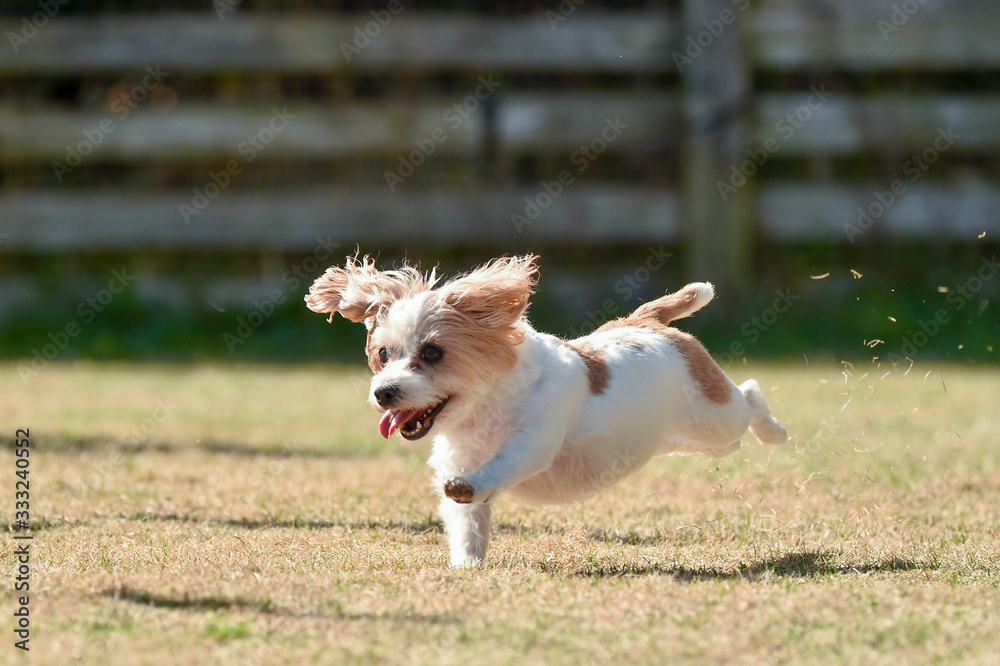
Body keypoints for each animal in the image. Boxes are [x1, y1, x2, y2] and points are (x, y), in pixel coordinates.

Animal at [300, 252, 784, 564]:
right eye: (384, 355)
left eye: (433, 353)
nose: (384, 392)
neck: (484, 412)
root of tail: (644, 321)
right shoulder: (457, 457)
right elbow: (467, 525)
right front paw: (467, 567)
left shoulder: (533, 440)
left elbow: (499, 466)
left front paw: (469, 485)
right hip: (687, 440)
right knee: (731, 440)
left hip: (717, 416)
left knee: (749, 395)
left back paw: (774, 430)